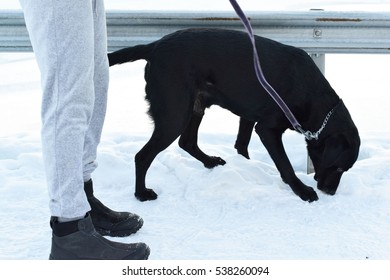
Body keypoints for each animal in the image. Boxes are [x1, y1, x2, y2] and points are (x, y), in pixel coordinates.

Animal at [109, 27, 360, 201]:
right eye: (339, 168)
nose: (330, 192)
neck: (311, 95)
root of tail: (154, 46)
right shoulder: (267, 129)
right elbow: (285, 166)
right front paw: (302, 190)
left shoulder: (249, 117)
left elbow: (241, 145)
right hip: (175, 114)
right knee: (143, 156)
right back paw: (141, 194)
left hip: (195, 106)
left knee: (187, 142)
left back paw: (210, 161)